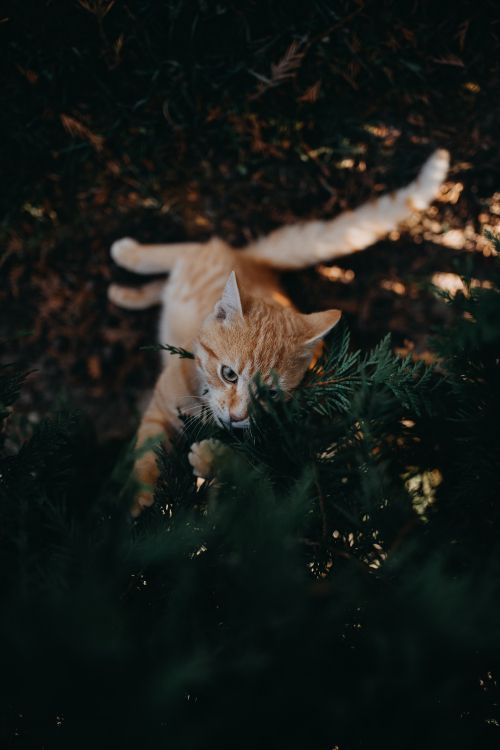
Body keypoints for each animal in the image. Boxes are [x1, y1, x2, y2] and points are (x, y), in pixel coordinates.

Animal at [108, 152, 450, 516]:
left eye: (270, 394)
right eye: (228, 374)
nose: (238, 416)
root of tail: (253, 264)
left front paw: (214, 460)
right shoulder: (160, 408)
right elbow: (146, 456)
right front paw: (138, 499)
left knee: (162, 285)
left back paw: (125, 294)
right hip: (198, 256)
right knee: (175, 253)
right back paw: (126, 253)